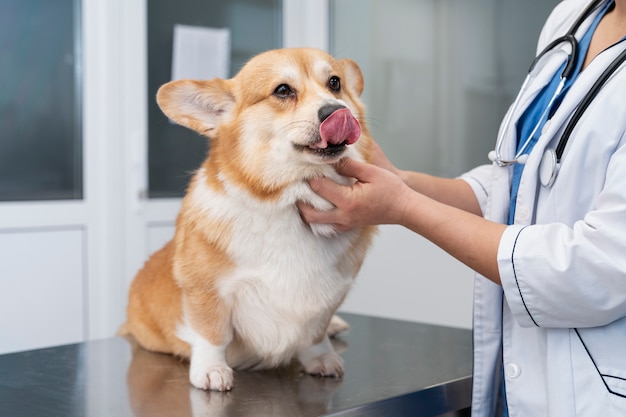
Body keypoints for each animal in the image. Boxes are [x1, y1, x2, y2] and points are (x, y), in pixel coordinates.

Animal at [119, 48, 372, 390]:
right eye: (282, 90)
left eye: (335, 83)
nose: (338, 111)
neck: (288, 201)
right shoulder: (205, 289)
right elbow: (212, 333)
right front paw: (211, 369)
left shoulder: (329, 293)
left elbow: (315, 332)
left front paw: (321, 357)